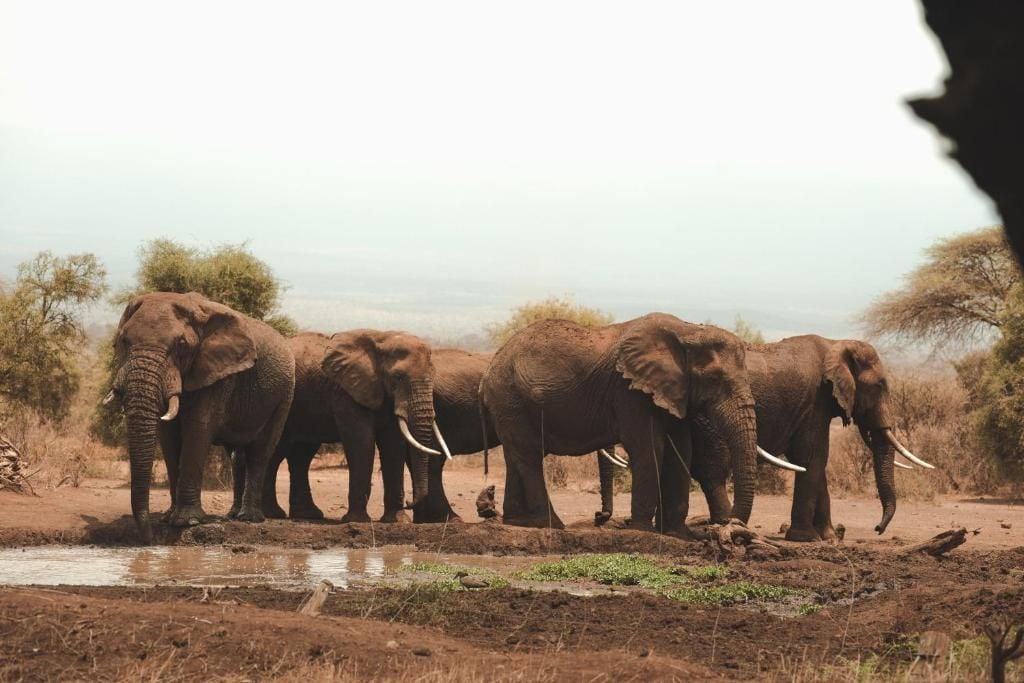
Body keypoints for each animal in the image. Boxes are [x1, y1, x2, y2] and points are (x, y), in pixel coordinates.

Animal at [106, 292, 295, 543]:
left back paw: (249, 518)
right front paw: (168, 518)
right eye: (124, 341)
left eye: (181, 345)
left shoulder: (217, 374)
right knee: (237, 456)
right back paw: (233, 514)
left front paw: (187, 522)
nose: (150, 540)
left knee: (260, 452)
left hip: (284, 396)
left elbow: (197, 430)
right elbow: (169, 438)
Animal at [259, 330, 444, 523]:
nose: (409, 502)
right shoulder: (345, 392)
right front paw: (357, 520)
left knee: (301, 455)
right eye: (398, 377)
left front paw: (397, 520)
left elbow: (393, 445)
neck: (381, 338)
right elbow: (362, 443)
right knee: (275, 451)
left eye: (433, 375)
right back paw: (272, 514)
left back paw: (307, 515)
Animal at [479, 313, 763, 531]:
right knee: (529, 457)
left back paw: (517, 523)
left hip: (509, 405)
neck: (688, 329)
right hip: (510, 398)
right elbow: (649, 447)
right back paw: (552, 525)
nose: (732, 525)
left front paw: (675, 532)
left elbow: (680, 450)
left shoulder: (673, 392)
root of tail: (490, 366)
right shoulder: (628, 390)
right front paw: (642, 530)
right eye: (715, 380)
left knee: (515, 456)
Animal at [687, 336, 933, 542]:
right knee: (713, 470)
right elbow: (813, 457)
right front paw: (807, 538)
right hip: (707, 420)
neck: (835, 343)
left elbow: (813, 463)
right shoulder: (816, 402)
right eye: (878, 386)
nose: (877, 529)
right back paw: (724, 525)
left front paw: (830, 538)